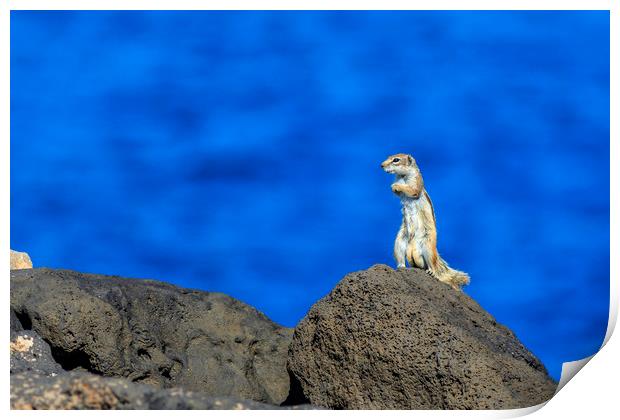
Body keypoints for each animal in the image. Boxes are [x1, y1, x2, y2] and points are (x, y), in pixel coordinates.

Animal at [380, 153, 468, 290]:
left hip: (428, 246)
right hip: (399, 242)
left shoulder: (416, 182)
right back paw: (401, 266)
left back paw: (432, 271)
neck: (402, 176)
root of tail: (412, 247)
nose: (381, 165)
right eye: (389, 156)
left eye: (396, 160)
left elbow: (412, 190)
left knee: (431, 265)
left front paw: (395, 186)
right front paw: (394, 188)